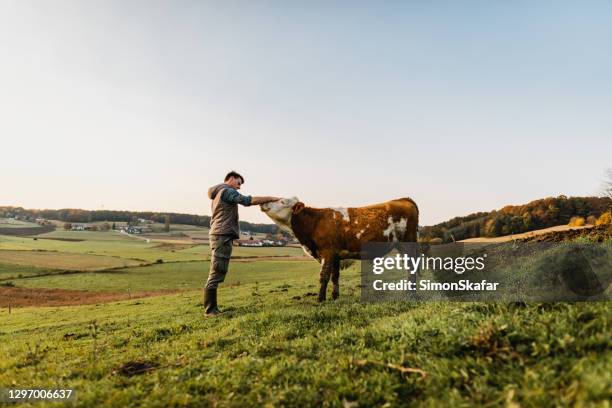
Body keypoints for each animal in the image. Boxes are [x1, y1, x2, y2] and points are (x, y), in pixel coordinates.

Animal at [258, 198, 420, 302]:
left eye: (282, 201)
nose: (263, 203)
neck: (314, 222)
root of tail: (403, 199)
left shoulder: (327, 252)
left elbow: (323, 276)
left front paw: (320, 299)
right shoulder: (335, 255)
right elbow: (334, 277)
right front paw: (335, 296)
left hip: (408, 243)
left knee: (411, 267)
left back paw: (411, 293)